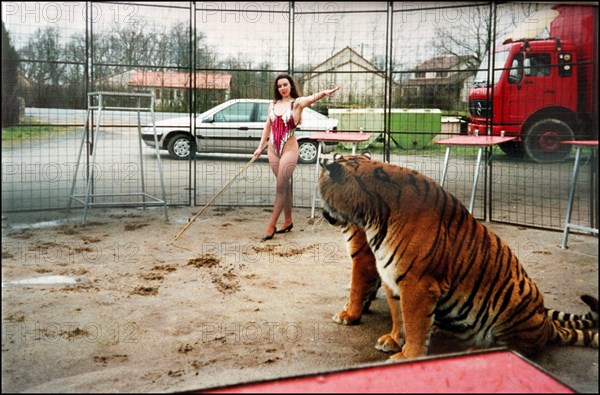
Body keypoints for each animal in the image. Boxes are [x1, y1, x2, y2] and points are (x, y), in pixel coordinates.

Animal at [316, 155, 596, 362]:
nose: (322, 213)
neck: (370, 215)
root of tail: (546, 324)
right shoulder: (390, 277)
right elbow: (399, 315)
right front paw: (393, 339)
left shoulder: (415, 283)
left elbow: (408, 320)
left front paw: (406, 354)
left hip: (516, 299)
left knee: (520, 347)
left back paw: (478, 351)